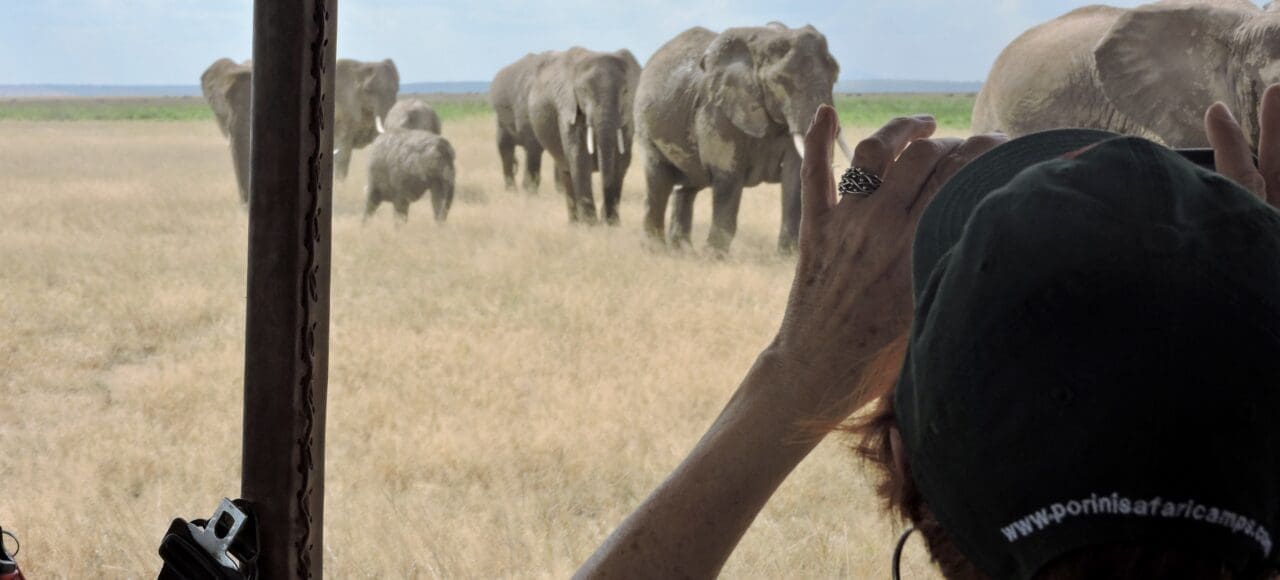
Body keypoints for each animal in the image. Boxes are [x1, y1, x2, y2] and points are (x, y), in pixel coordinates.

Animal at [637, 24, 849, 253]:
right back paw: (656, 248)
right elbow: (728, 176)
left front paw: (787, 255)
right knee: (659, 181)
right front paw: (714, 256)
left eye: (835, 75)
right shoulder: (716, 109)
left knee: (688, 186)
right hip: (644, 124)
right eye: (782, 81)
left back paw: (683, 250)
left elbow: (795, 175)